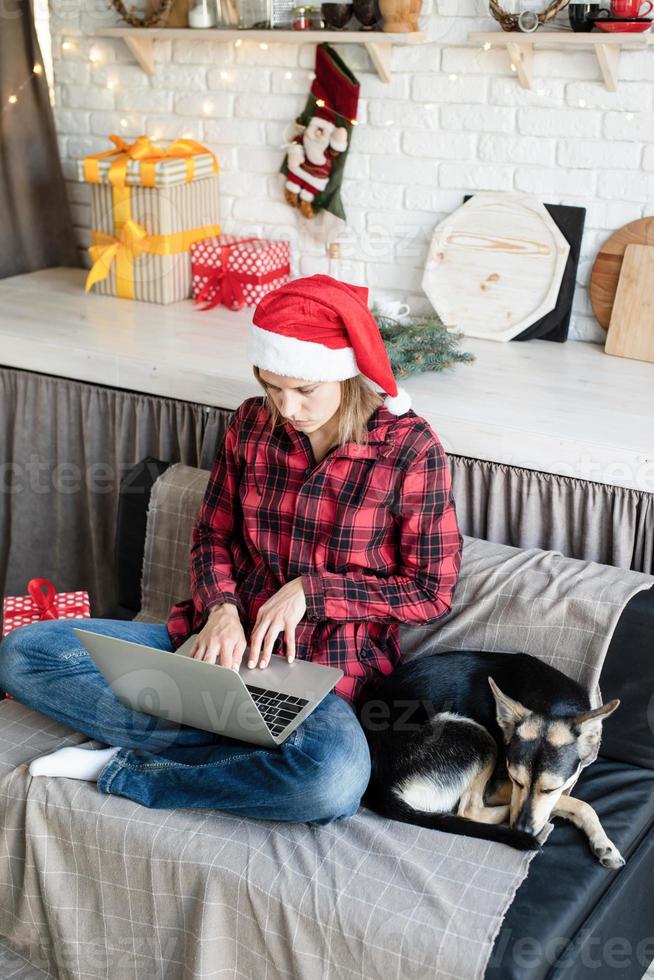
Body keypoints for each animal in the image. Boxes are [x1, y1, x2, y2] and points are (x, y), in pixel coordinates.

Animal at [356, 656, 628, 868]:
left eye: (549, 788)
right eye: (516, 780)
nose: (521, 830)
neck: (553, 704)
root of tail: (377, 787)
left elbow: (568, 800)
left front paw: (602, 843)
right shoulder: (499, 786)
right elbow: (580, 803)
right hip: (479, 738)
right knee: (469, 809)